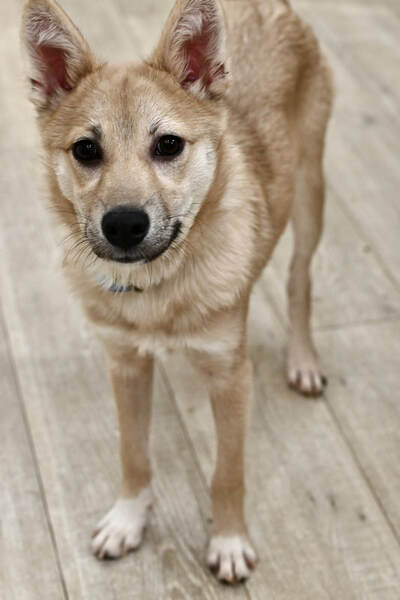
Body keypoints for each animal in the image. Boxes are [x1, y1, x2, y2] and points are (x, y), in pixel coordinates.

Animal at [21, 0, 333, 584]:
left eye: (168, 145)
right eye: (85, 150)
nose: (124, 225)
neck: (157, 287)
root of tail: (271, 8)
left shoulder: (232, 379)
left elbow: (227, 472)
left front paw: (228, 540)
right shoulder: (125, 365)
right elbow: (132, 452)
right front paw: (128, 518)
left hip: (310, 193)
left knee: (300, 279)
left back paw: (303, 360)